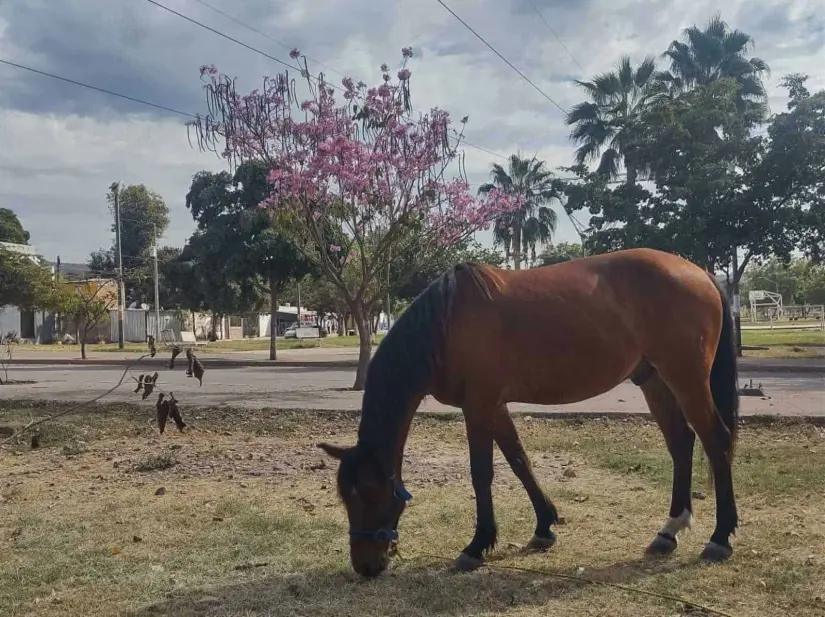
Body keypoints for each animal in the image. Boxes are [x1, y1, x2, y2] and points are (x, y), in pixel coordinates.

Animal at [318, 245, 736, 576]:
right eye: (345, 495)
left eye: (370, 493)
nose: (365, 566)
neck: (445, 325)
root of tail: (700, 272)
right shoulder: (495, 406)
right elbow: (519, 461)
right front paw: (544, 528)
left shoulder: (480, 405)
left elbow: (482, 473)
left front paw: (476, 546)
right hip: (654, 380)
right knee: (681, 443)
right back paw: (668, 532)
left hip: (685, 378)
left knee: (716, 441)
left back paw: (720, 539)